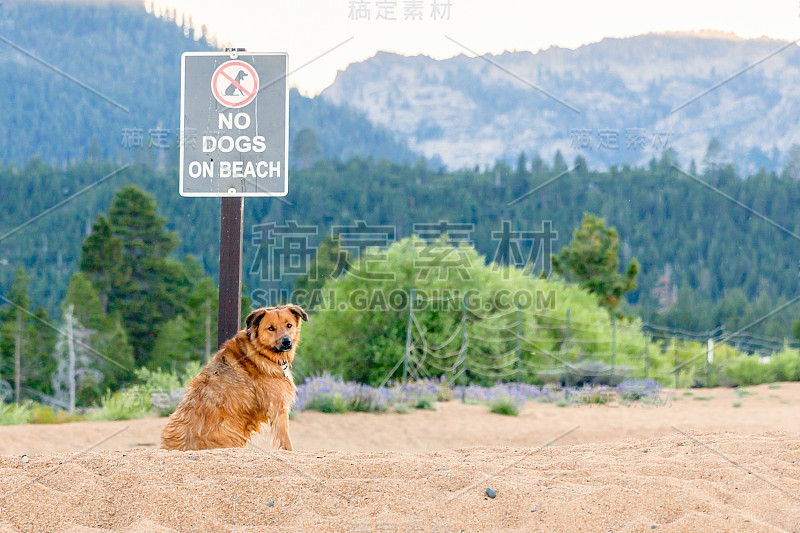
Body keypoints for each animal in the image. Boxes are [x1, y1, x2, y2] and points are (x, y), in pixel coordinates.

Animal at [161, 304, 308, 448]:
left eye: (289, 325)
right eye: (271, 328)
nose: (286, 342)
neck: (259, 351)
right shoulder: (278, 408)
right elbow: (287, 443)